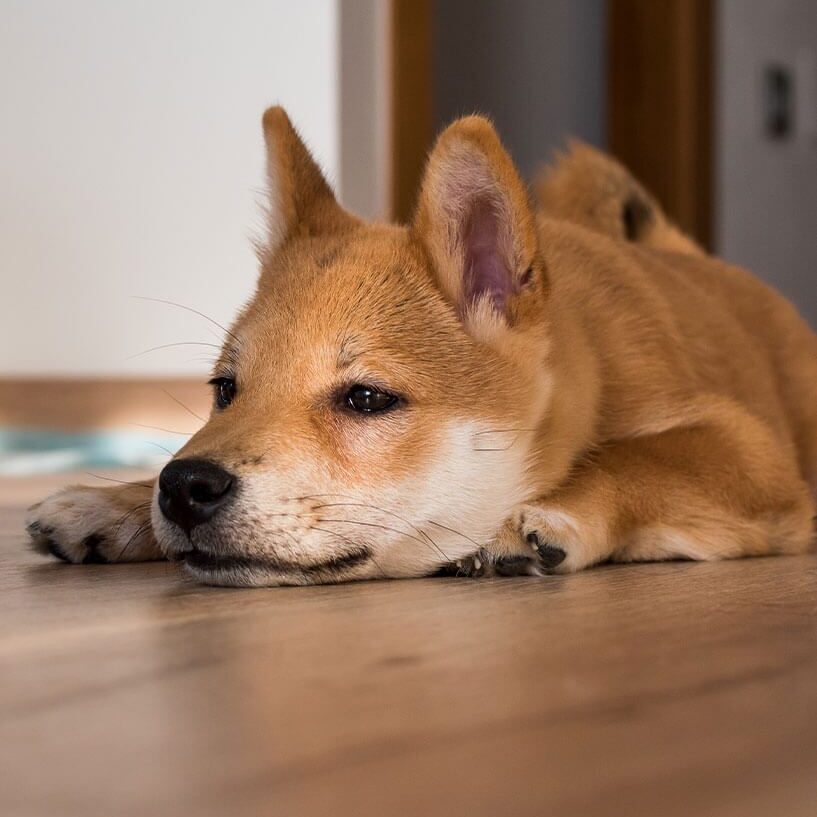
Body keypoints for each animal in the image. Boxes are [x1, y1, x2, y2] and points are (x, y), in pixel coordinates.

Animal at [25, 107, 816, 588]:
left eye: (367, 398)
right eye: (225, 389)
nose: (185, 487)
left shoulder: (746, 447)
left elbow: (635, 456)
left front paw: (542, 515)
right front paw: (111, 503)